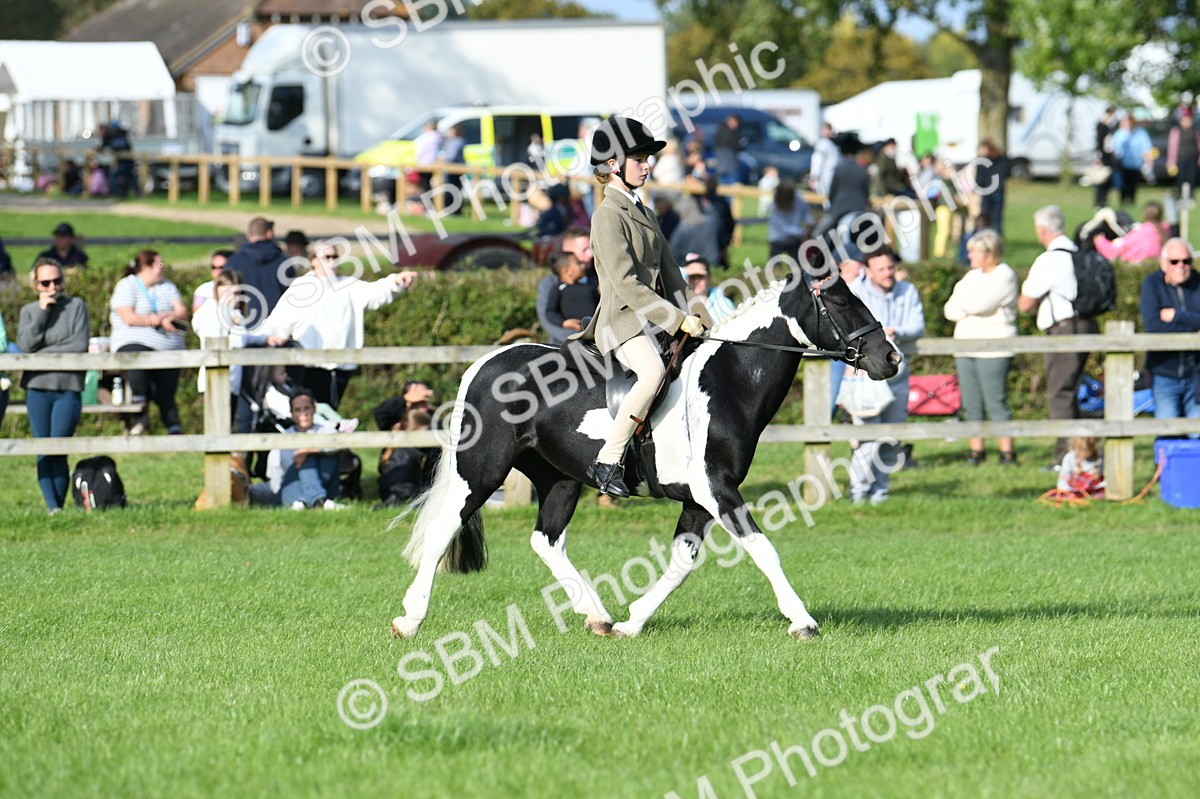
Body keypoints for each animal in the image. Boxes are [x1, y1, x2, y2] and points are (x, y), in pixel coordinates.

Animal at [390, 267, 901, 640]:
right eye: (840, 302)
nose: (890, 358)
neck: (729, 378)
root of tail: (486, 362)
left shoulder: (698, 500)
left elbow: (680, 565)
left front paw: (632, 621)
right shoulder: (717, 491)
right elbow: (763, 549)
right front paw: (803, 621)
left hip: (560, 479)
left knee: (545, 540)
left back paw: (596, 615)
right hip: (481, 471)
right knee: (442, 530)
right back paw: (410, 619)